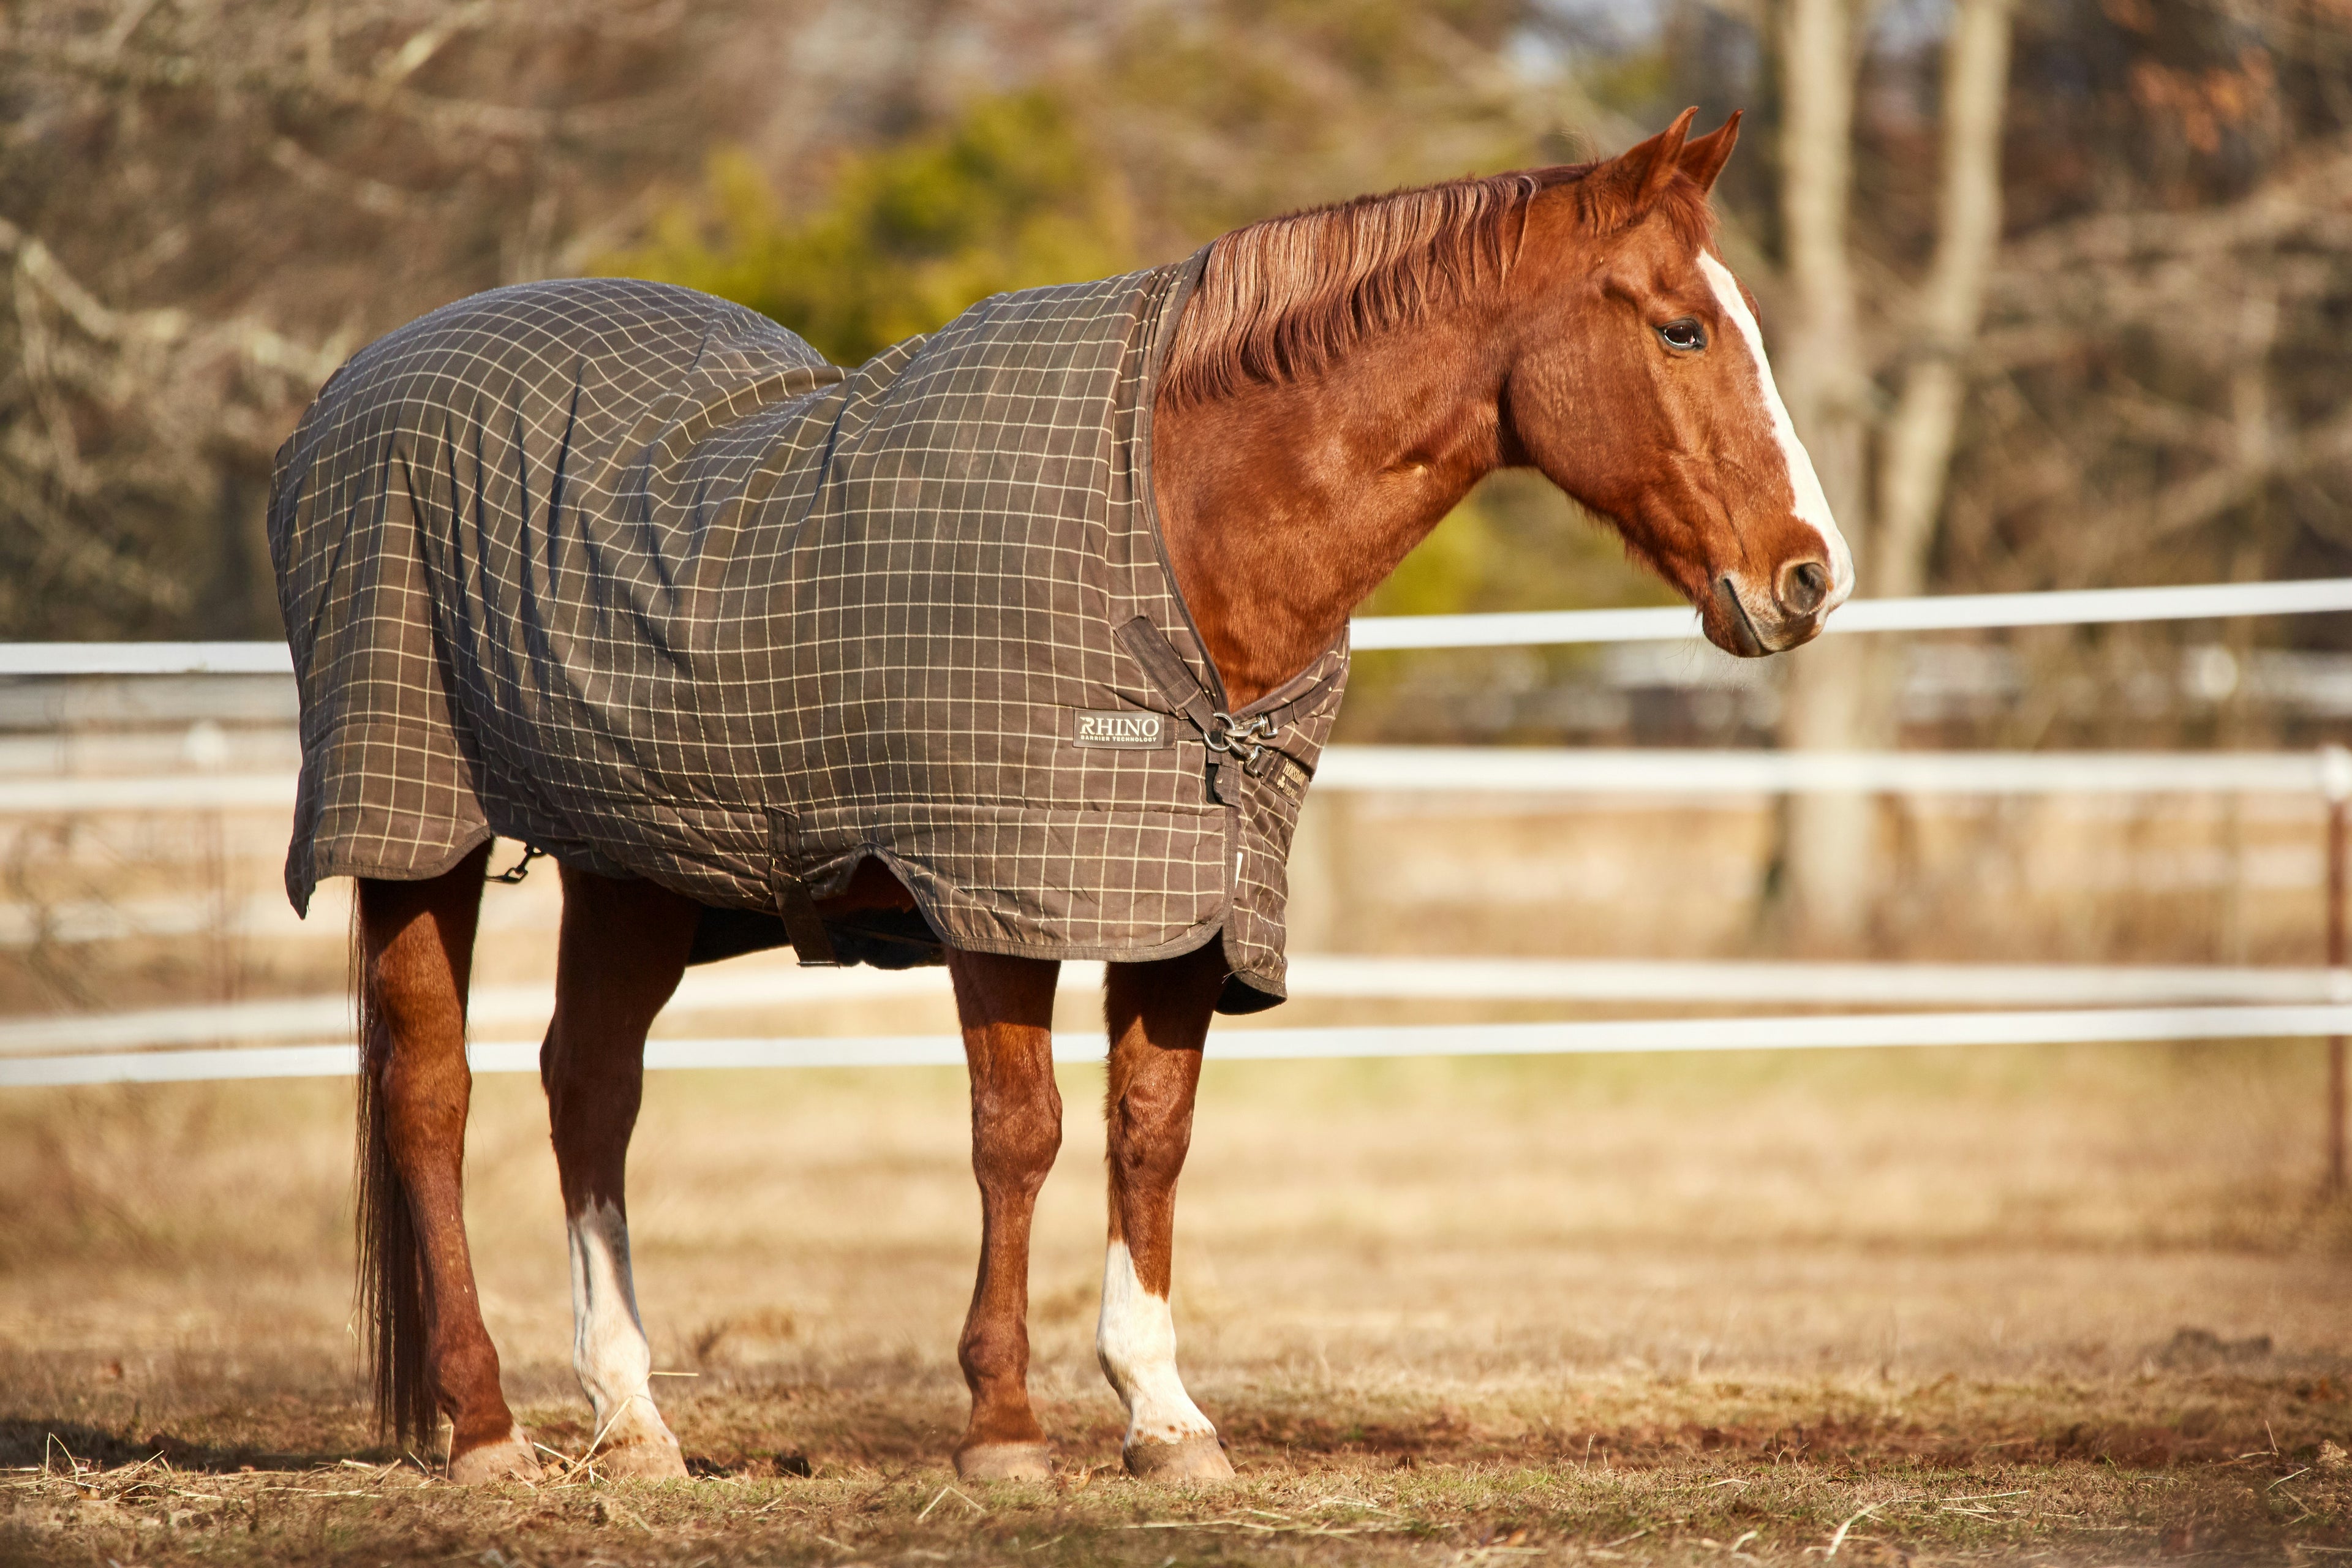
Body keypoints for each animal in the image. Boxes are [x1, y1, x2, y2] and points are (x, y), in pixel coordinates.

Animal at [291, 106, 1849, 1488]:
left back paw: (634, 1423)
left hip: (641, 863)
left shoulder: (1187, 896)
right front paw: (1003, 1427)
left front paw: (1166, 1416)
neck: (1182, 524)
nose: (1808, 575)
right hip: (412, 828)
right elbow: (1020, 1133)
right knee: (433, 1093)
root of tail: (353, 389)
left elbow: (1148, 1133)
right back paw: (487, 1426)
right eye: (1682, 327)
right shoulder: (998, 892)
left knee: (588, 1086)